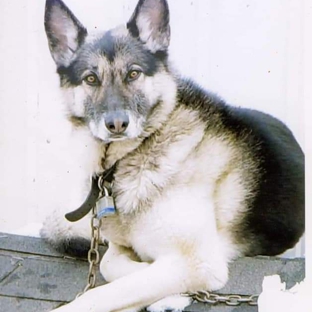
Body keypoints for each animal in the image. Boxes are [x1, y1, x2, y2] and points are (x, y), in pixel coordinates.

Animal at [42, 0, 304, 310]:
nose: (116, 125)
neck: (132, 158)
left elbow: (100, 294)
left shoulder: (199, 263)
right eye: (91, 79)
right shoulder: (125, 249)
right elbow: (111, 265)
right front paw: (169, 293)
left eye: (133, 74)